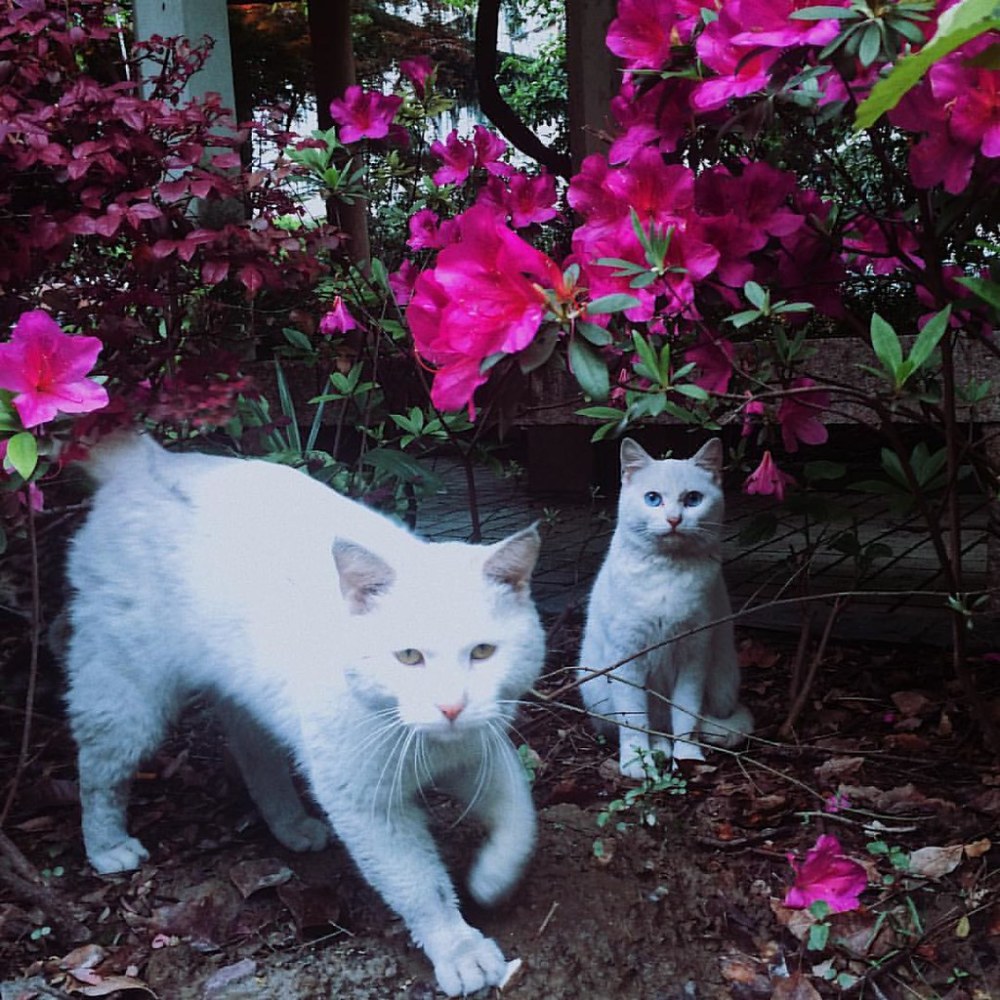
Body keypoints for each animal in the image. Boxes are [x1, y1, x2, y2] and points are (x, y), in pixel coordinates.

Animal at [63, 434, 544, 996]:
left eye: (483, 652)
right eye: (408, 657)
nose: (450, 706)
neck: (428, 744)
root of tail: (146, 459)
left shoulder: (479, 751)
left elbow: (521, 819)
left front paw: (490, 880)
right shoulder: (367, 808)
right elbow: (421, 887)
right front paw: (460, 950)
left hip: (251, 702)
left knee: (254, 756)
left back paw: (291, 825)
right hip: (127, 696)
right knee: (98, 772)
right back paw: (108, 848)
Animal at [580, 440, 752, 780]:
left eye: (693, 499)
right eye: (653, 499)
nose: (674, 519)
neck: (667, 574)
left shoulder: (694, 656)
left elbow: (685, 717)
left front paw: (688, 756)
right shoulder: (627, 658)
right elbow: (634, 721)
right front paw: (636, 764)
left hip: (723, 684)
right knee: (652, 728)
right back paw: (656, 750)